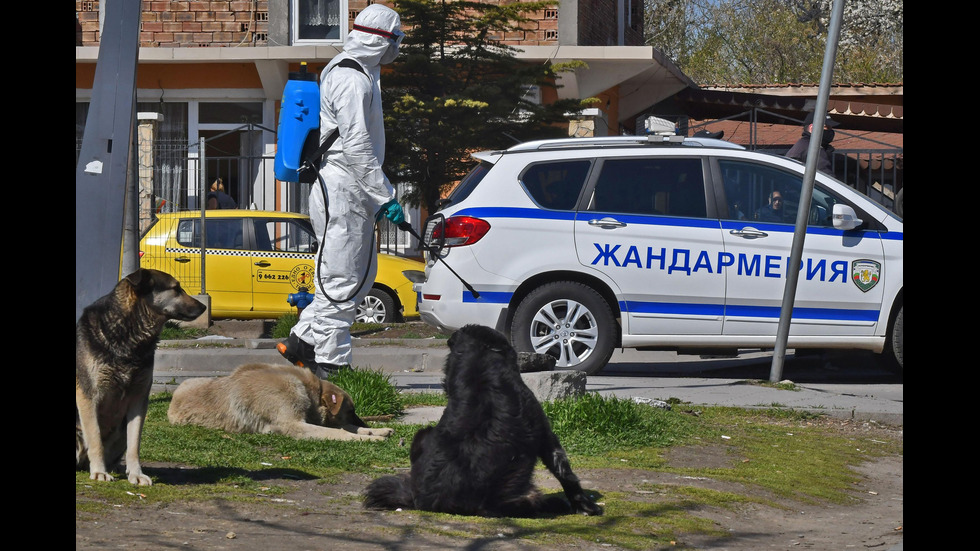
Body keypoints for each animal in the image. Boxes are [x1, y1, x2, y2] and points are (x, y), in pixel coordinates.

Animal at [76, 270, 207, 486]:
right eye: (176, 288)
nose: (204, 307)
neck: (129, 333)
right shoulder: (88, 396)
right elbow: (95, 439)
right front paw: (100, 471)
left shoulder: (138, 399)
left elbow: (134, 443)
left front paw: (136, 473)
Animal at [168, 364, 394, 442]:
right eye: (350, 410)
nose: (366, 423)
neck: (309, 389)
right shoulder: (293, 425)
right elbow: (340, 432)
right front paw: (369, 438)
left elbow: (347, 428)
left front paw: (375, 431)